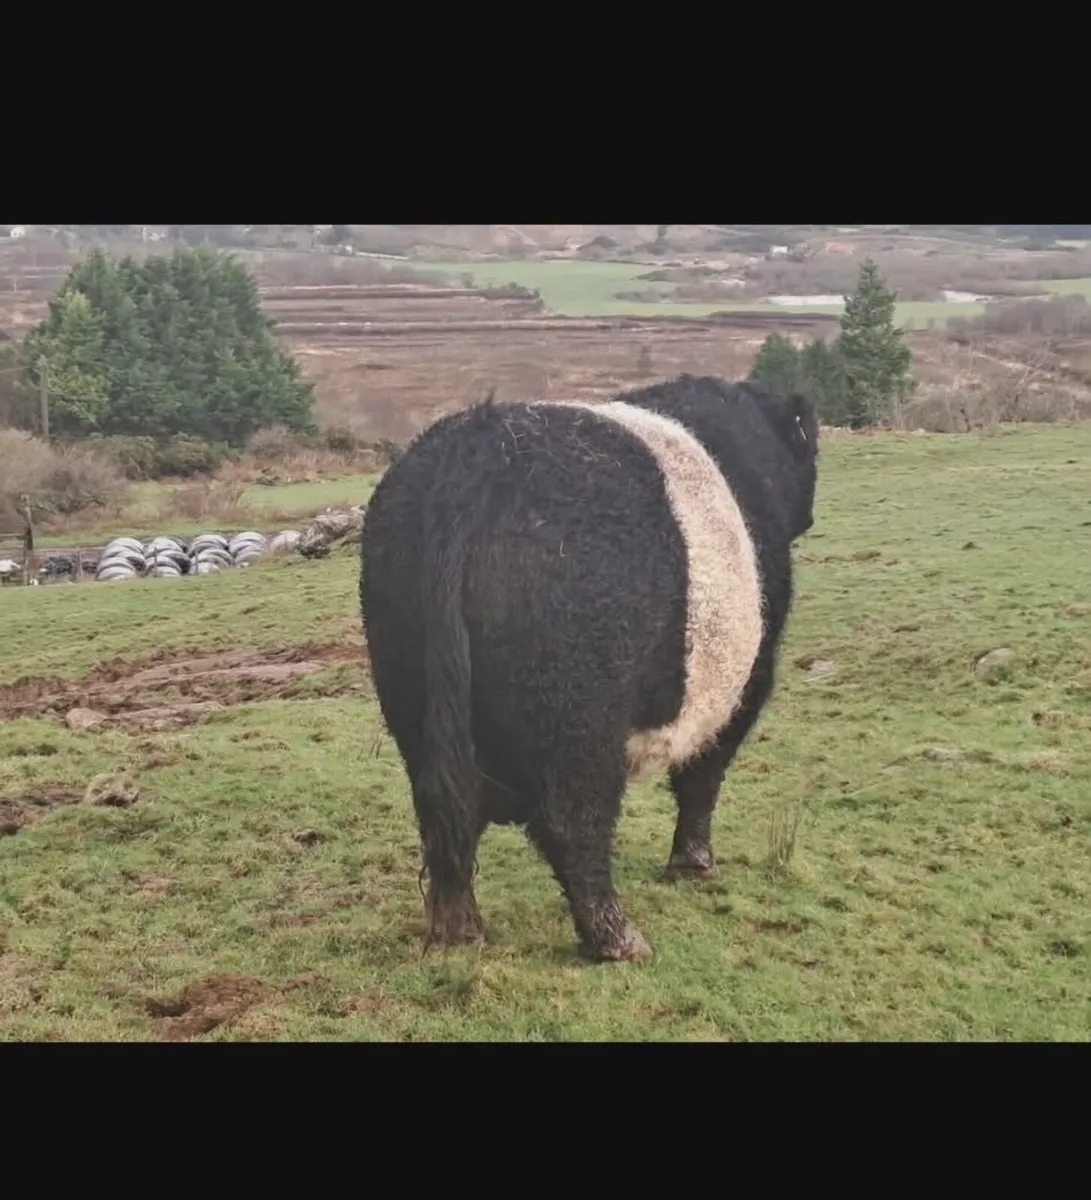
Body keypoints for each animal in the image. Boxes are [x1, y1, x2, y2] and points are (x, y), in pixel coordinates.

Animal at [359, 374, 819, 963]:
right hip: (578, 711)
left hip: (408, 683)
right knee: (573, 820)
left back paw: (460, 930)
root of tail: (477, 450)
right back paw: (617, 939)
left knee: (441, 815)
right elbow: (703, 776)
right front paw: (693, 865)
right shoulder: (744, 682)